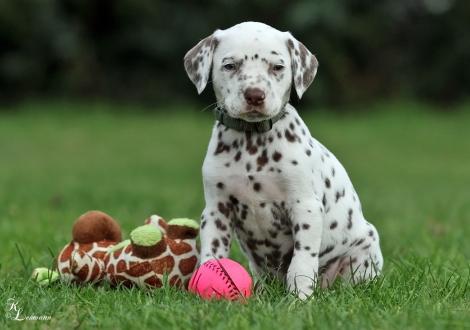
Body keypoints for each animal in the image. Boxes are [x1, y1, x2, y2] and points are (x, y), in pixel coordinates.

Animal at [183, 21, 382, 300]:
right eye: (230, 66)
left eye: (277, 67)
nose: (255, 95)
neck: (252, 143)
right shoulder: (216, 210)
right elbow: (212, 251)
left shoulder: (305, 206)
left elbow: (302, 261)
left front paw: (299, 299)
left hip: (364, 249)